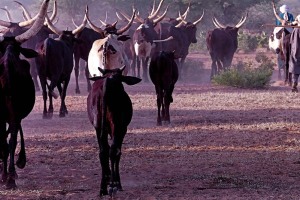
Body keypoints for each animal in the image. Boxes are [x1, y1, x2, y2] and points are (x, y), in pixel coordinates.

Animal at [86, 66, 141, 197]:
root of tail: (108, 81)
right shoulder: (122, 129)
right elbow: (118, 152)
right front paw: (117, 182)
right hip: (116, 126)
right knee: (113, 150)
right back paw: (112, 185)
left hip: (99, 127)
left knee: (103, 152)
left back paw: (103, 187)